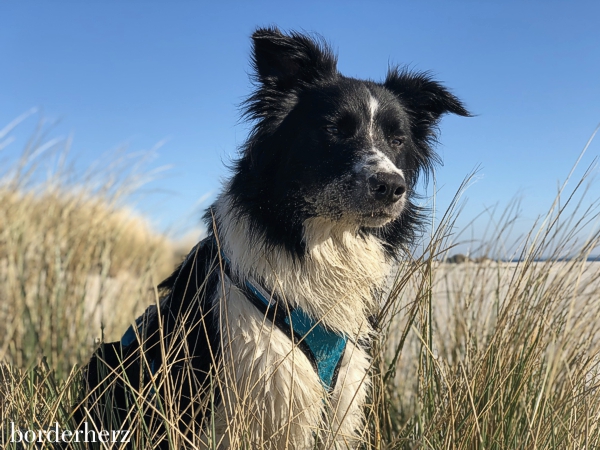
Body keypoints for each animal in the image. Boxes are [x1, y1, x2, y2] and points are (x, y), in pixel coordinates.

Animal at [79, 26, 472, 448]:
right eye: (334, 130)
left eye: (398, 140)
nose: (391, 186)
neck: (320, 243)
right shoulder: (250, 384)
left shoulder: (343, 390)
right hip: (109, 361)